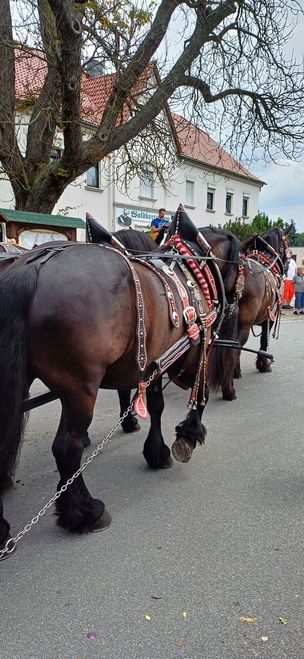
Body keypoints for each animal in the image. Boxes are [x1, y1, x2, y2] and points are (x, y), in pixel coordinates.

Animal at [0, 210, 235, 556]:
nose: (233, 306)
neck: (191, 266)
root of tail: (35, 264)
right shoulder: (198, 346)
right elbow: (199, 395)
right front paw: (187, 436)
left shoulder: (156, 358)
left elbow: (156, 405)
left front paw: (156, 451)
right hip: (80, 388)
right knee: (67, 448)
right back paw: (84, 511)